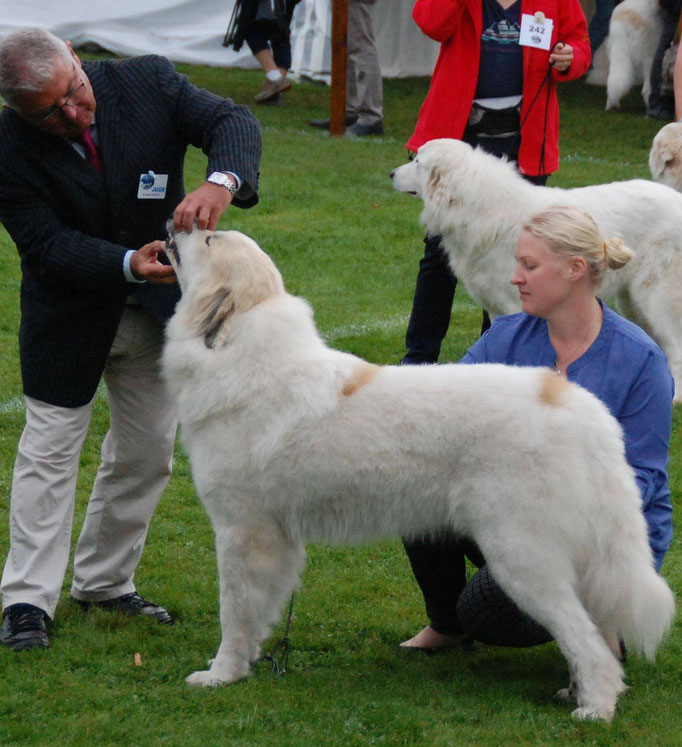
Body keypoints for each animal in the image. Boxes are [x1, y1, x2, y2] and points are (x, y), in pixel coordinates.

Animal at [162, 228, 672, 724]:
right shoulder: (276, 541)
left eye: (208, 240)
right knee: (596, 628)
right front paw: (245, 665)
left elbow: (233, 613)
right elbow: (257, 613)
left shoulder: (241, 533)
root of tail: (574, 402)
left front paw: (221, 675)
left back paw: (596, 707)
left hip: (521, 560)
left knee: (587, 639)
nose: (177, 223)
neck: (241, 354)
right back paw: (578, 690)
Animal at [390, 137, 680, 400]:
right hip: (631, 303)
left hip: (655, 297)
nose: (391, 174)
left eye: (417, 162)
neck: (479, 208)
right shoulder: (496, 309)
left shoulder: (519, 304)